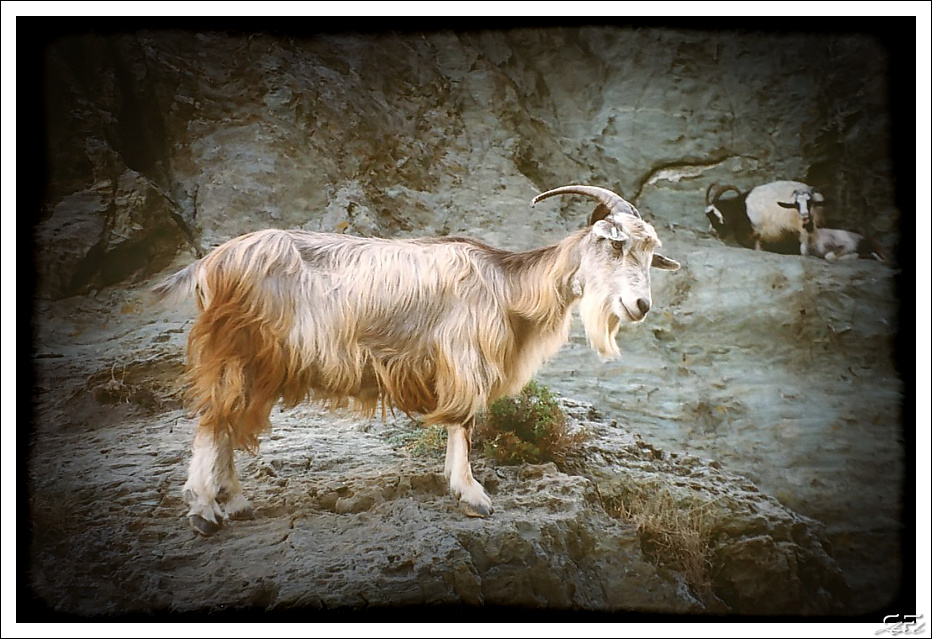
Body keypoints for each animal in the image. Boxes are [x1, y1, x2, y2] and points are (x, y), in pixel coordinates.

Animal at [151, 185, 676, 536]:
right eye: (616, 244)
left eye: (651, 252)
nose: (640, 306)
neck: (507, 286)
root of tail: (211, 263)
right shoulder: (462, 355)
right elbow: (464, 421)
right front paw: (472, 495)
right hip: (236, 348)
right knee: (212, 418)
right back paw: (204, 511)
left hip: (258, 363)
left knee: (227, 420)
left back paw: (236, 502)